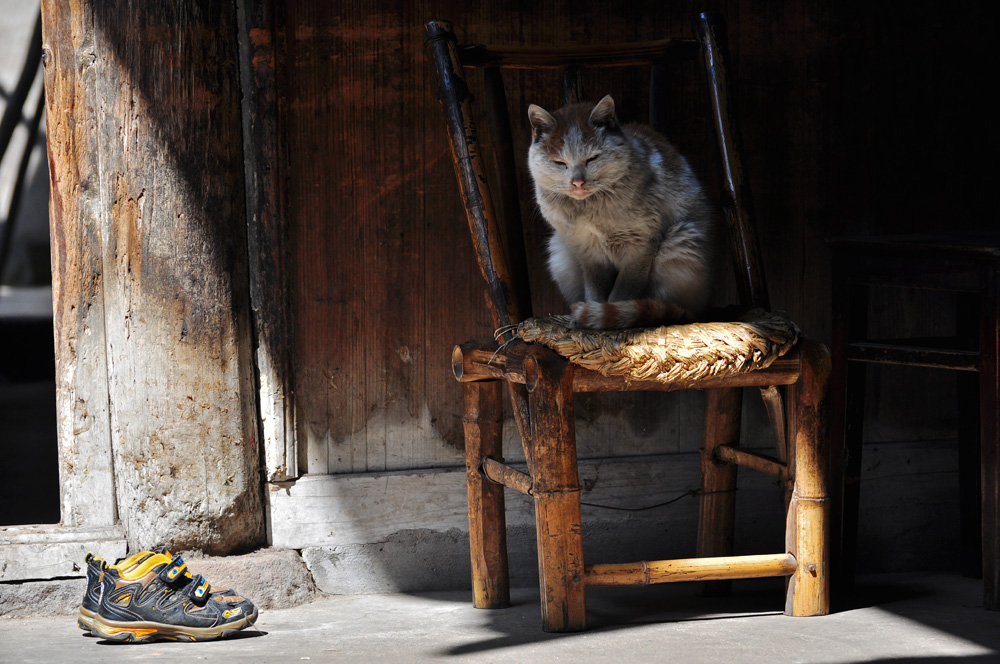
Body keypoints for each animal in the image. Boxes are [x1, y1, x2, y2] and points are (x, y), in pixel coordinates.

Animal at [528, 95, 716, 330]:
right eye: (559, 162)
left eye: (592, 158)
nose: (578, 182)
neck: (587, 209)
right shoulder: (587, 253)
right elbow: (595, 290)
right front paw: (588, 315)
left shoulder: (640, 247)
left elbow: (622, 292)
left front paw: (608, 316)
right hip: (559, 251)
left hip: (681, 241)